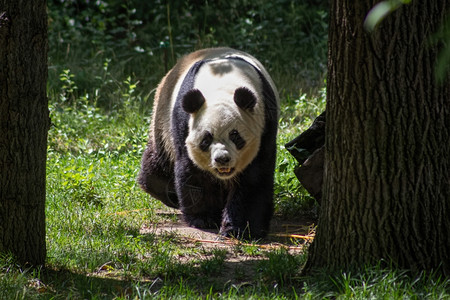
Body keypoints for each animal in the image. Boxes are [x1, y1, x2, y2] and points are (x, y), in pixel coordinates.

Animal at [138, 47, 278, 239]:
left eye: (235, 136)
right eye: (206, 139)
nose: (222, 159)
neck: (223, 83)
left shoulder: (265, 122)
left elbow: (254, 177)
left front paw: (240, 228)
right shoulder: (184, 121)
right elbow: (193, 171)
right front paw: (204, 218)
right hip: (162, 118)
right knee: (158, 165)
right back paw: (169, 195)